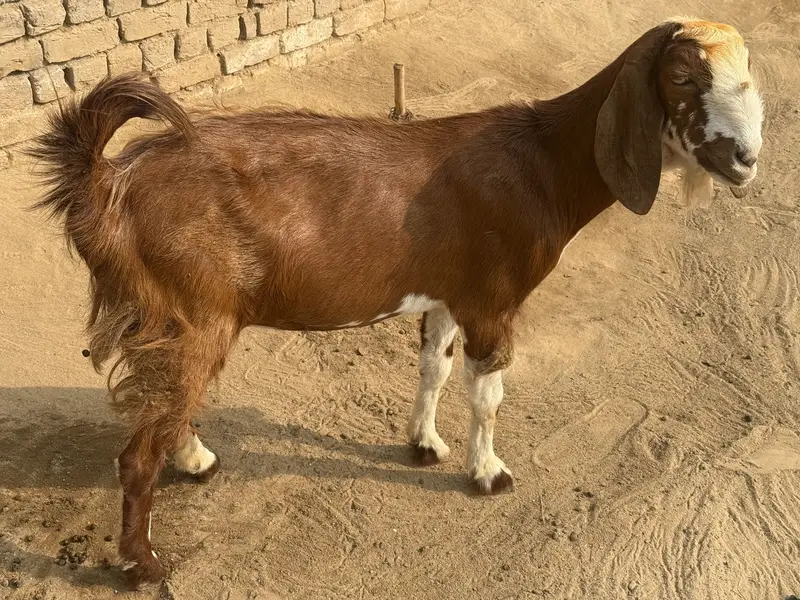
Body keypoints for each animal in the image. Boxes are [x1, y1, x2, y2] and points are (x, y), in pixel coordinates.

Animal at [28, 17, 763, 586]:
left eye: (748, 73)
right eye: (682, 78)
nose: (747, 159)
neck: (545, 164)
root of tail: (108, 182)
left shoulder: (448, 292)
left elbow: (434, 368)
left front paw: (425, 444)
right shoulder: (494, 300)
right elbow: (489, 395)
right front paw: (488, 474)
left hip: (171, 317)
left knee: (164, 402)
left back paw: (195, 461)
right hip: (194, 311)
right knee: (138, 448)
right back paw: (144, 564)